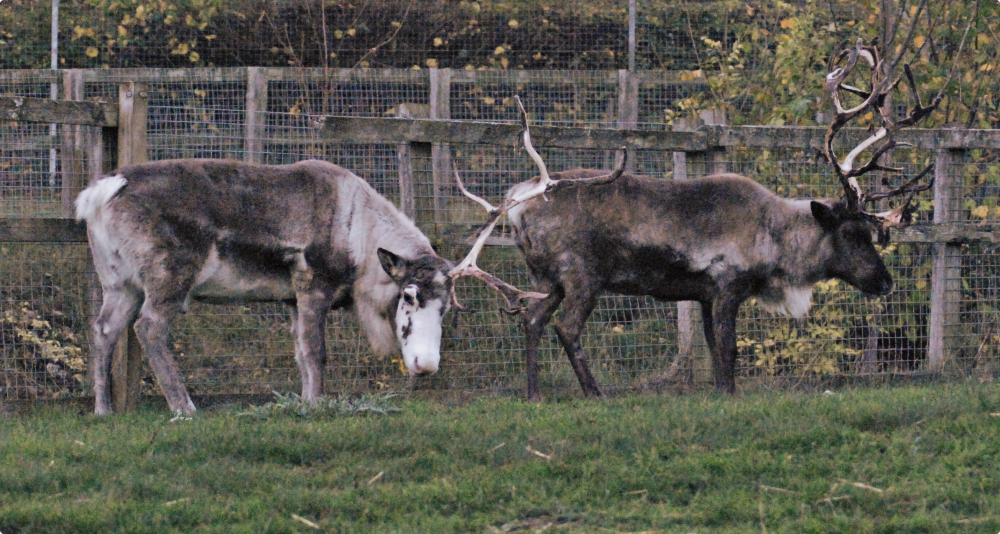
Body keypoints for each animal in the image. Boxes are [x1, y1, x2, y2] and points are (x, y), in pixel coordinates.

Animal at [75, 158, 540, 415]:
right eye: (408, 295)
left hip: (119, 282)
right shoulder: (313, 287)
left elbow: (300, 355)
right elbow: (317, 354)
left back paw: (103, 410)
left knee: (102, 330)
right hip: (168, 276)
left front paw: (302, 402)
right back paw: (185, 407)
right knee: (148, 327)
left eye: (448, 308)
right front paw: (316, 406)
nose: (425, 364)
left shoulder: (292, 300)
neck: (362, 244)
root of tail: (102, 191)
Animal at [456, 39, 941, 401]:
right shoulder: (726, 287)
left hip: (547, 279)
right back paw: (595, 393)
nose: (886, 282)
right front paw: (729, 396)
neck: (777, 242)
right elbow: (727, 353)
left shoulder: (706, 296)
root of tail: (515, 204)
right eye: (853, 232)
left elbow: (714, 350)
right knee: (565, 326)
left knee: (532, 319)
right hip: (580, 276)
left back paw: (534, 394)